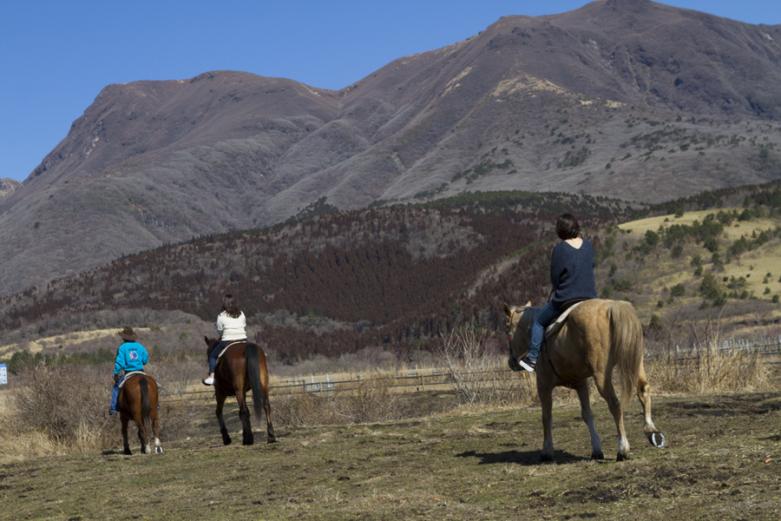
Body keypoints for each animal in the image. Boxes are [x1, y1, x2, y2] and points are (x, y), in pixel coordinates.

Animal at [506, 298, 664, 462]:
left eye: (507, 329)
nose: (511, 362)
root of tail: (612, 306)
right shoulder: (581, 384)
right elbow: (587, 414)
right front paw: (596, 450)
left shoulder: (543, 384)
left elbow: (546, 416)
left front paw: (547, 451)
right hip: (636, 362)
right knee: (643, 390)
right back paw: (652, 432)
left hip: (601, 376)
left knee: (615, 404)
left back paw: (623, 448)